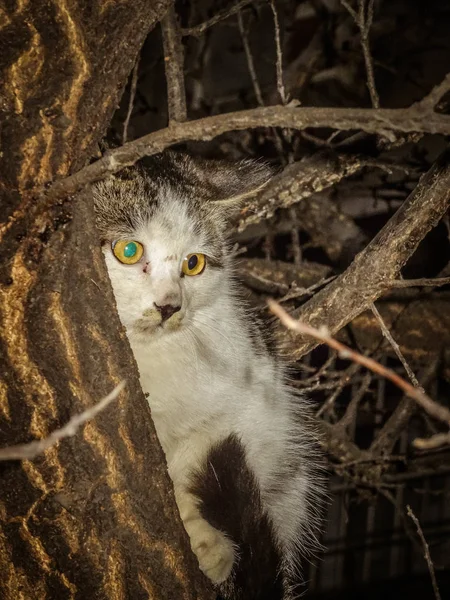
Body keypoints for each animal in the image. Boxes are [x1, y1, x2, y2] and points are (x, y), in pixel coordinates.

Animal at [92, 152, 324, 596]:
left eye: (194, 263)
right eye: (128, 250)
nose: (169, 306)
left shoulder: (249, 395)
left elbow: (202, 447)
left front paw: (208, 544)